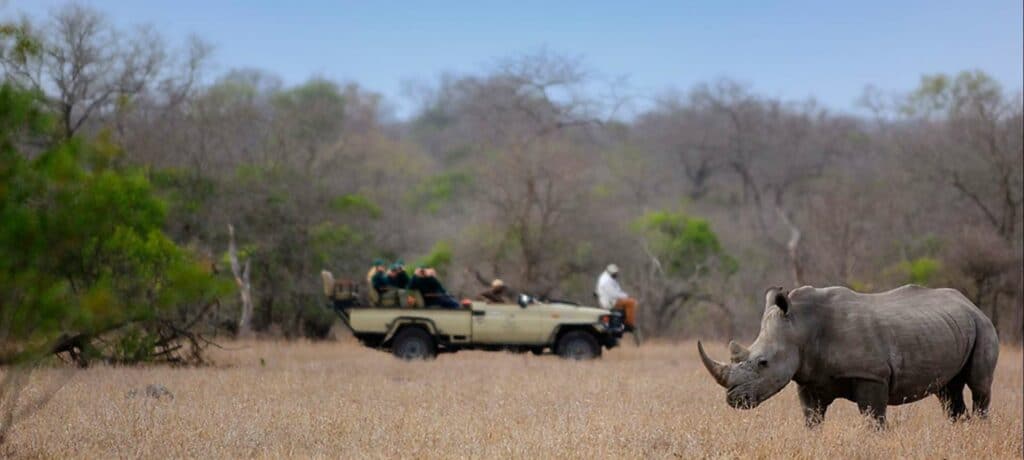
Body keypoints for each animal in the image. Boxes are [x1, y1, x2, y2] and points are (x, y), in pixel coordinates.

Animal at [698, 285, 999, 427]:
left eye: (763, 363)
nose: (733, 399)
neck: (801, 325)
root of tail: (970, 304)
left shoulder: (872, 375)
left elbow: (873, 419)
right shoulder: (808, 378)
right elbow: (812, 419)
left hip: (983, 326)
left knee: (979, 388)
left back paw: (979, 431)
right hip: (951, 327)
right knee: (948, 392)